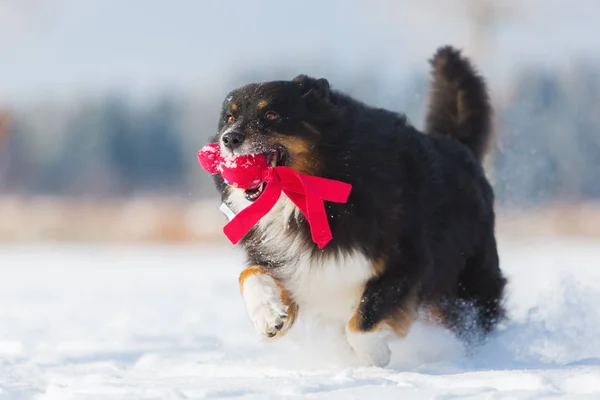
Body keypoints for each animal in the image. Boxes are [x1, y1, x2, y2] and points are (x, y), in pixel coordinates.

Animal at [209, 46, 508, 366]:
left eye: (271, 114)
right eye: (230, 117)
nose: (229, 138)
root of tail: (459, 146)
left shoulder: (405, 258)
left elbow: (363, 321)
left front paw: (375, 356)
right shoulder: (290, 262)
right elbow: (249, 275)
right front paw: (269, 317)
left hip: (470, 282)